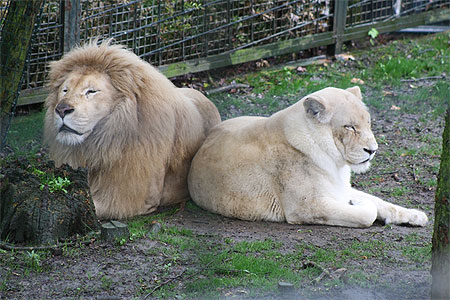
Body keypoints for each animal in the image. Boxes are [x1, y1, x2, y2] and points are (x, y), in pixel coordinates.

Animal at [188, 86, 428, 227]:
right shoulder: (306, 207)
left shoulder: (338, 188)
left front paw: (416, 216)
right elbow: (367, 213)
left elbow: (381, 202)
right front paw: (358, 203)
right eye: (349, 127)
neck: (336, 164)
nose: (373, 149)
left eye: (368, 122)